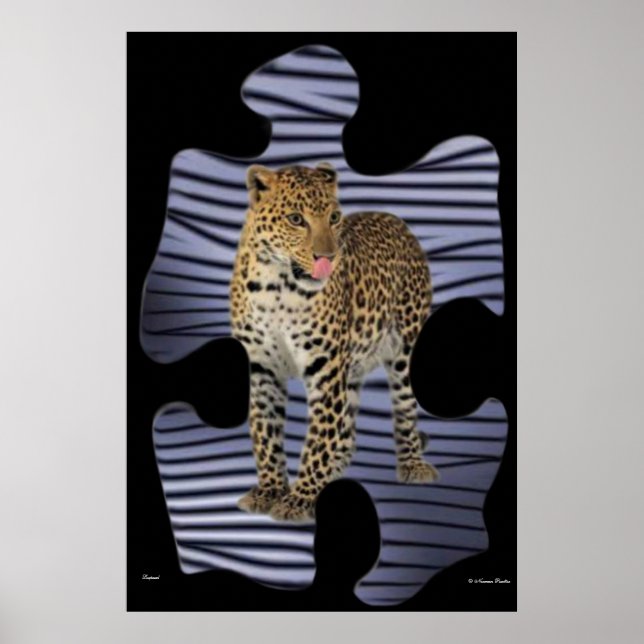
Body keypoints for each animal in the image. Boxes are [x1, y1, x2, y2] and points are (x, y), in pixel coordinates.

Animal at [230, 162, 438, 522]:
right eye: (296, 219)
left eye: (334, 217)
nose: (327, 256)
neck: (277, 287)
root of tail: (397, 221)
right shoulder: (261, 368)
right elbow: (266, 433)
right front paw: (271, 491)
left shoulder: (325, 367)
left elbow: (317, 439)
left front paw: (300, 499)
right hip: (351, 364)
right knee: (347, 431)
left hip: (404, 348)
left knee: (404, 408)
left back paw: (412, 464)